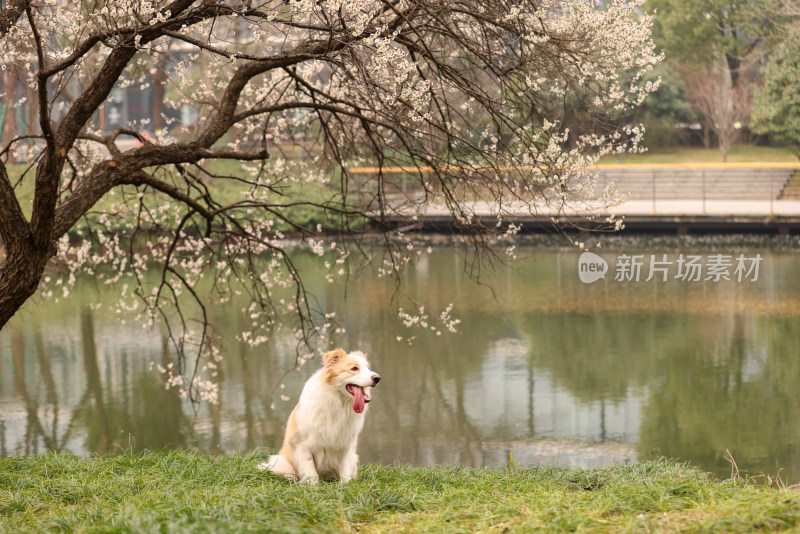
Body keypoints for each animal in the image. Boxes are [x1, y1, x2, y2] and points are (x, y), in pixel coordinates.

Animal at [258, 350, 380, 484]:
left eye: (368, 368)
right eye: (354, 368)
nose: (377, 378)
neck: (337, 402)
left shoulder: (347, 445)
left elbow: (345, 469)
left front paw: (345, 484)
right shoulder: (303, 445)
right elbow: (310, 470)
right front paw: (313, 485)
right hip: (282, 462)